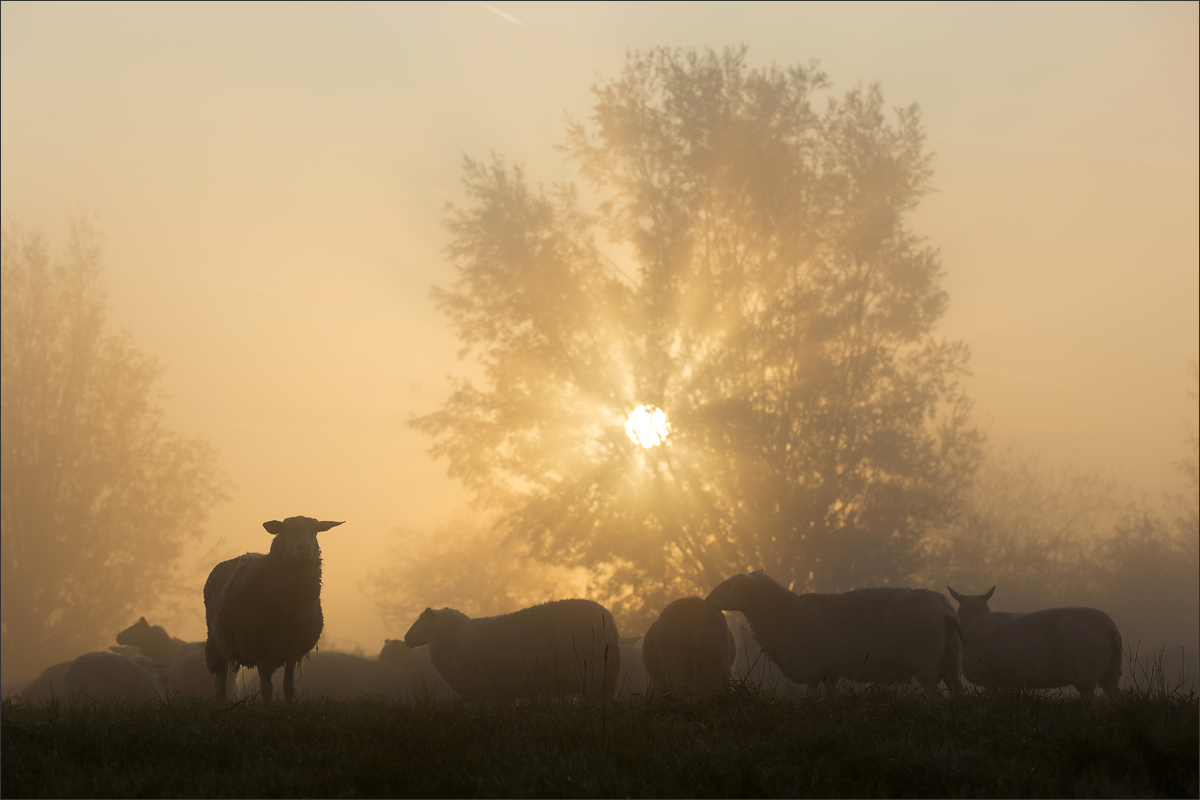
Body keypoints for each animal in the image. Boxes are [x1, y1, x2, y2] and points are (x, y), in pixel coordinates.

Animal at [204, 515, 345, 705]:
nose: (304, 547)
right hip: (216, 641)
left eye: (314, 530)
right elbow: (266, 688)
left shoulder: (293, 648)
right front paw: (268, 708)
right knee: (220, 682)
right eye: (288, 529)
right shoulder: (259, 649)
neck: (291, 610)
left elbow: (289, 688)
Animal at [408, 599, 624, 700]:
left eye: (421, 619)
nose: (406, 638)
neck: (455, 635)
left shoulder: (482, 690)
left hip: (593, 674)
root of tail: (609, 621)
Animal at [705, 568, 960, 695]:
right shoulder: (829, 672)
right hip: (950, 661)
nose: (707, 601)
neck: (783, 611)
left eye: (731, 586)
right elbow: (831, 699)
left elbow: (811, 699)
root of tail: (945, 609)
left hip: (925, 660)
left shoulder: (811, 670)